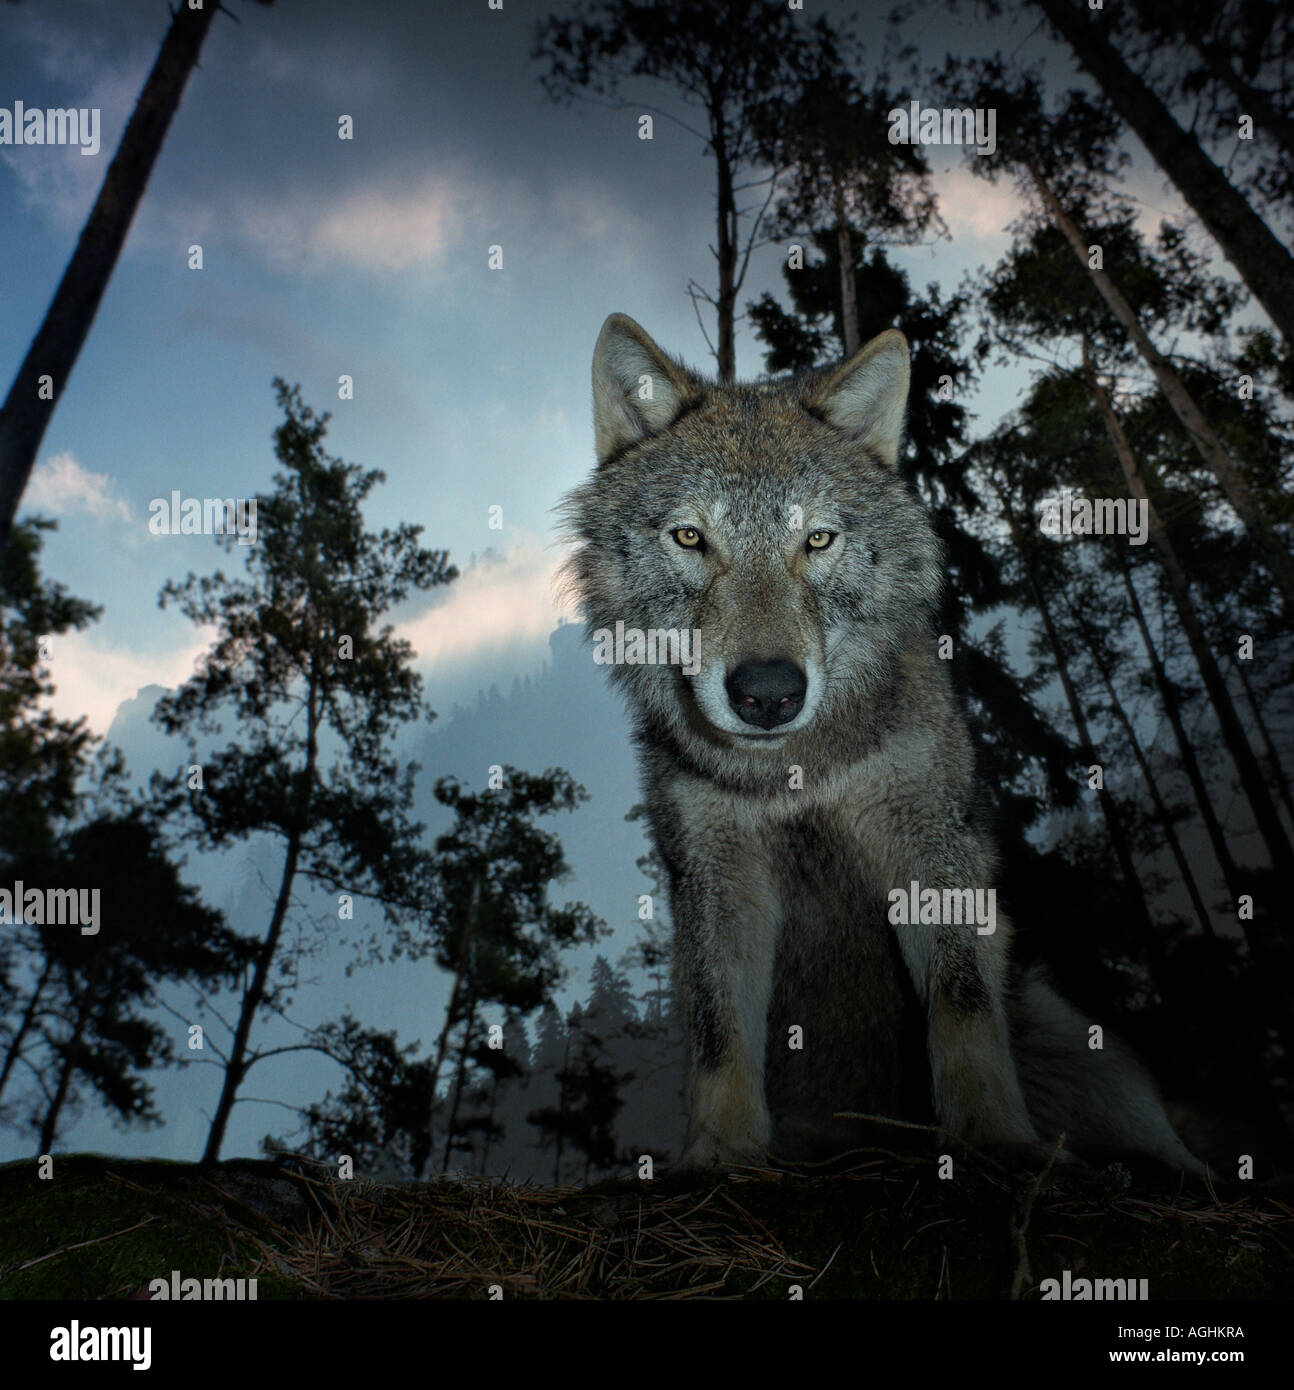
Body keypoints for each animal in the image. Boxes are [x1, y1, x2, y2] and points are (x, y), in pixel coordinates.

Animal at [560, 313, 1203, 1176]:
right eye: (690, 538)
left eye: (818, 540)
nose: (768, 692)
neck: (796, 771)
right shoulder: (718, 878)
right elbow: (719, 1031)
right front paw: (718, 1156)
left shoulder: (929, 846)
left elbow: (962, 1005)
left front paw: (992, 1140)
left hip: (1081, 1049)